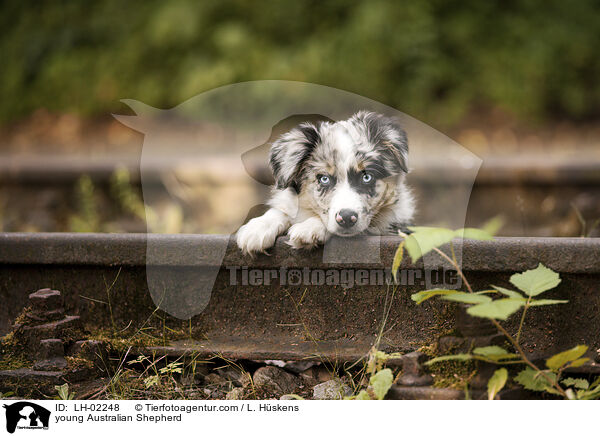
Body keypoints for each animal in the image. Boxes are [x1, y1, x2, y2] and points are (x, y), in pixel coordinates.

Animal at [237, 110, 414, 254]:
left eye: (367, 177)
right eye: (324, 179)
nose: (347, 218)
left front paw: (309, 228)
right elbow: (284, 209)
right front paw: (258, 228)